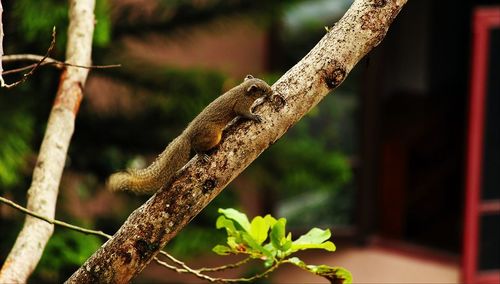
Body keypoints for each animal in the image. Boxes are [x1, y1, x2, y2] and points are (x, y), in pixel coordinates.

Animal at [106, 75, 274, 195]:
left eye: (265, 84)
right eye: (262, 89)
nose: (271, 91)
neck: (243, 90)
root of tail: (186, 135)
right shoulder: (241, 105)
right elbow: (244, 112)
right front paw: (255, 116)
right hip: (212, 135)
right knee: (197, 146)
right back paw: (202, 155)